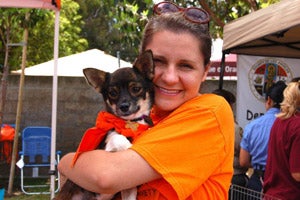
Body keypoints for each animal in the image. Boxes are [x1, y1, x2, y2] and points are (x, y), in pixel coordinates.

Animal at [54, 49, 155, 200]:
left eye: (136, 89)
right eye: (112, 93)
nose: (123, 106)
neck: (130, 123)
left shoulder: (128, 188)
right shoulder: (104, 149)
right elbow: (118, 137)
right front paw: (128, 145)